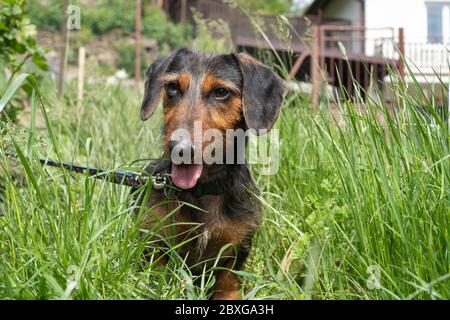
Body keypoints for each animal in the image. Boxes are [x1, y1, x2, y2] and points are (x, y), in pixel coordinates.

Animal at [140, 48, 284, 300]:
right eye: (172, 88)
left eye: (221, 92)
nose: (180, 148)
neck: (202, 190)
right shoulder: (157, 245)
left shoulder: (233, 257)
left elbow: (227, 287)